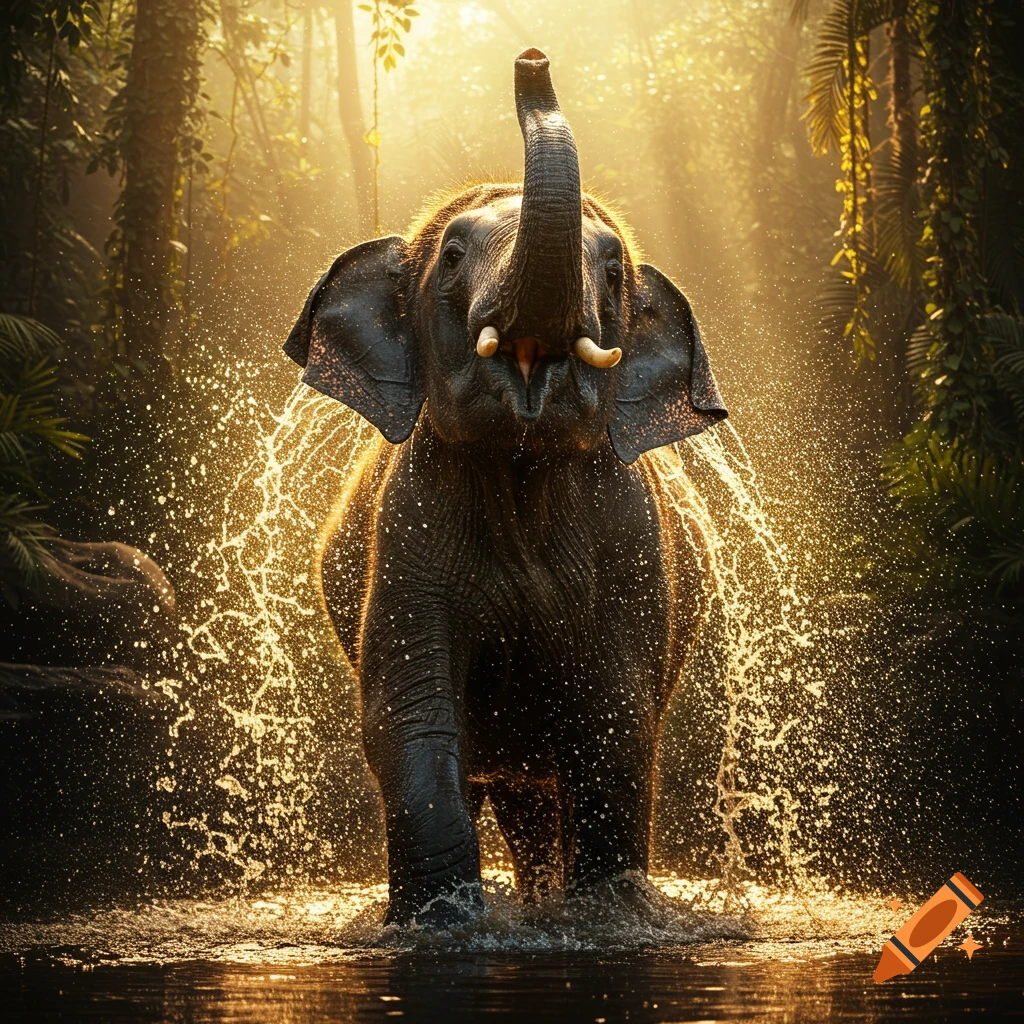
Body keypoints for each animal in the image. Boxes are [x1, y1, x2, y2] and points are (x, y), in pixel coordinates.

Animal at [284, 48, 727, 927]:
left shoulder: (632, 549)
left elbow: (616, 724)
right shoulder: (407, 532)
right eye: (453, 256)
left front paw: (608, 921)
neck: (520, 474)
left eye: (615, 269)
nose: (532, 59)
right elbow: (408, 719)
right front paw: (443, 925)